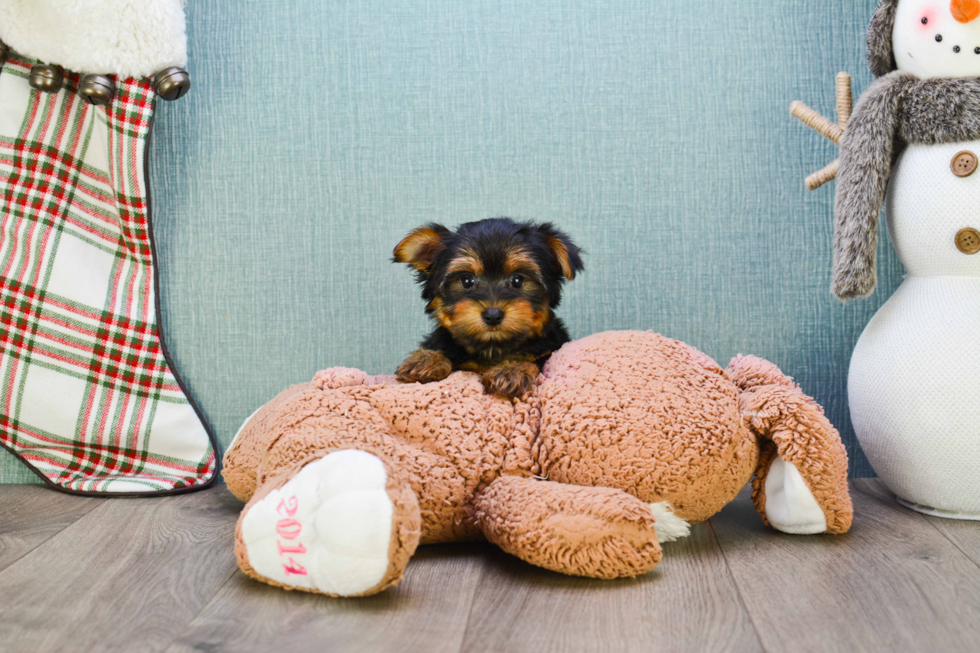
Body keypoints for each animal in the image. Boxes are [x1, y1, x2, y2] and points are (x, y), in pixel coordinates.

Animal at [394, 218, 584, 398]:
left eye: (517, 280)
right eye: (466, 281)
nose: (493, 315)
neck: (492, 348)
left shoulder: (549, 349)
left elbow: (533, 359)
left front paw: (511, 370)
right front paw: (426, 360)